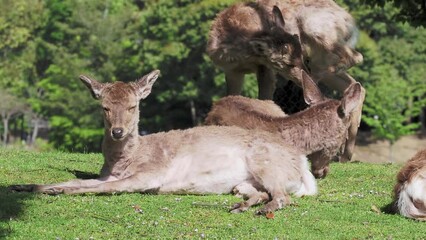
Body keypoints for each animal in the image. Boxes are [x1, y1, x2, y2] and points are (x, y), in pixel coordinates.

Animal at [8, 70, 318, 215]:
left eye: (133, 106)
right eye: (104, 107)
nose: (117, 131)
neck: (125, 161)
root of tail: (303, 167)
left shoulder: (151, 173)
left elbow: (105, 188)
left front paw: (57, 191)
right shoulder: (106, 173)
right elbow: (79, 181)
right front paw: (23, 186)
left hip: (267, 165)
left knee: (283, 196)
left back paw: (263, 210)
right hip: (244, 182)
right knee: (259, 193)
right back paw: (240, 206)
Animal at [208, 0, 364, 163]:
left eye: (300, 57)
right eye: (288, 64)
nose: (305, 72)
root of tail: (350, 21)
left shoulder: (265, 69)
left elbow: (264, 97)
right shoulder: (232, 71)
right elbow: (231, 94)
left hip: (317, 30)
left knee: (355, 56)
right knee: (355, 85)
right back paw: (346, 155)